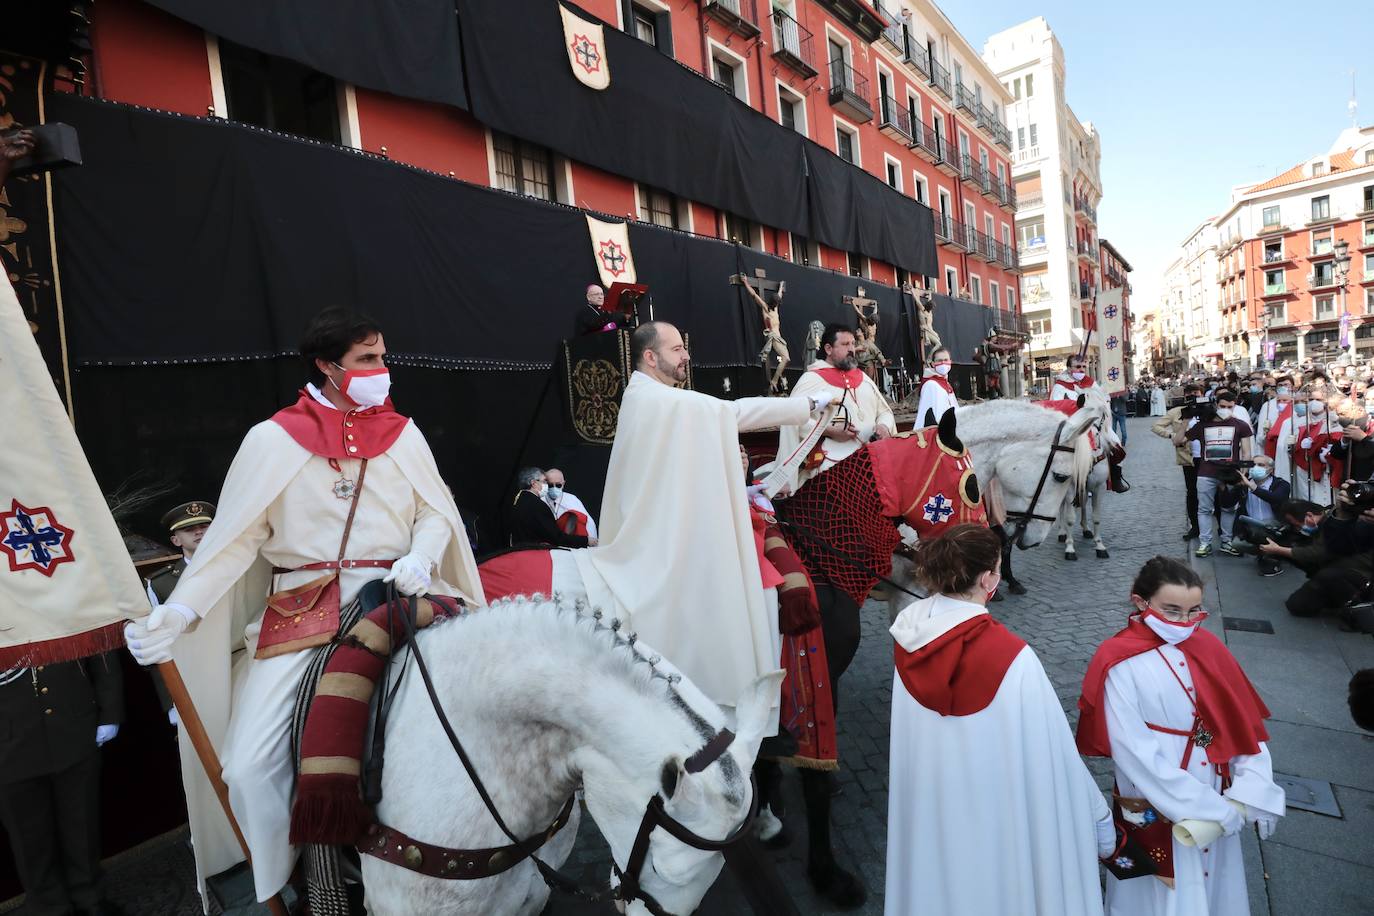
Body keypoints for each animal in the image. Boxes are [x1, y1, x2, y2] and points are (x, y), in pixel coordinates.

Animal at [1055, 387, 1121, 560]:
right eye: (1081, 406)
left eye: (1102, 410)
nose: (1092, 435)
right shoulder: (1071, 487)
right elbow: (1070, 518)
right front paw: (1070, 548)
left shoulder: (1098, 487)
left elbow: (1096, 517)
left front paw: (1100, 546)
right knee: (1062, 508)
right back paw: (1062, 532)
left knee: (1083, 503)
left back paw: (1085, 529)